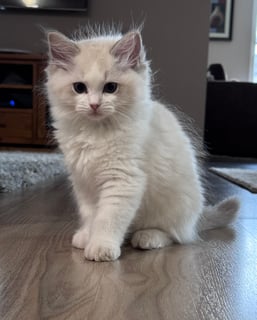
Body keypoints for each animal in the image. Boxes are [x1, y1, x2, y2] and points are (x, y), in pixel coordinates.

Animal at [44, 27, 238, 262]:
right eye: (79, 88)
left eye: (110, 88)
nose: (94, 105)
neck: (96, 133)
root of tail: (198, 217)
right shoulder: (84, 183)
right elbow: (91, 216)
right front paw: (88, 236)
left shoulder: (123, 180)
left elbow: (107, 219)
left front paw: (101, 247)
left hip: (175, 206)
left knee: (176, 235)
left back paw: (148, 237)